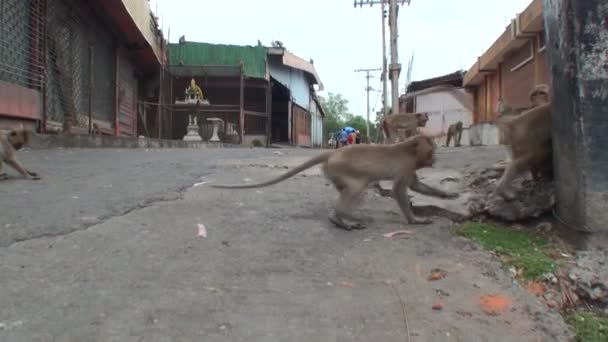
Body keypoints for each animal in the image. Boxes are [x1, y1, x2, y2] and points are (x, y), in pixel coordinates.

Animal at [209, 134, 456, 230]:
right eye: (432, 149)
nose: (435, 158)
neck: (410, 149)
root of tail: (331, 153)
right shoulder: (406, 167)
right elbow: (399, 190)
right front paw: (415, 220)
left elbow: (416, 187)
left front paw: (449, 195)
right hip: (343, 169)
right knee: (358, 188)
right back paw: (345, 216)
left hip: (334, 173)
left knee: (350, 190)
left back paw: (339, 219)